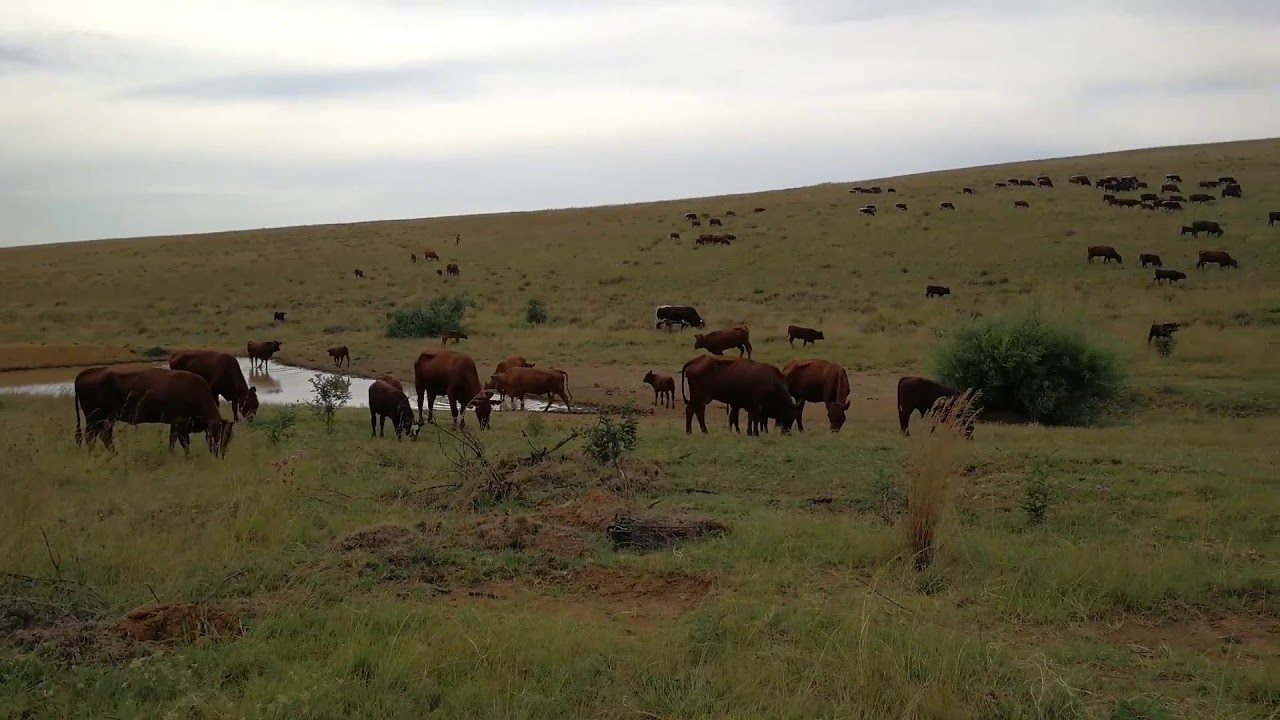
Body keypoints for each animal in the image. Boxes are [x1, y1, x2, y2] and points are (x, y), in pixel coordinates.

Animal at [74, 366, 235, 457]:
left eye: (229, 437)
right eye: (219, 434)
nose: (221, 454)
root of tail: (84, 373)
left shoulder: (178, 425)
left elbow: (173, 441)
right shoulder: (180, 423)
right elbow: (183, 442)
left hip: (105, 419)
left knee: (103, 436)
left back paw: (113, 455)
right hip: (95, 418)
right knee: (92, 436)